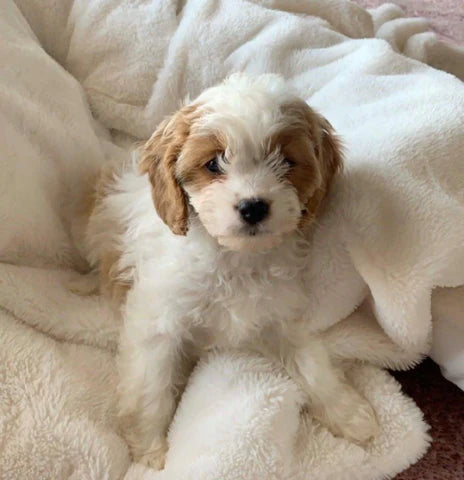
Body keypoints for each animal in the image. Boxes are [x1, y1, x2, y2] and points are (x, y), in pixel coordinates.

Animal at [78, 74, 378, 468]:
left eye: (287, 161)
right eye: (213, 163)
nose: (253, 207)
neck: (233, 260)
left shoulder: (279, 315)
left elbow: (312, 363)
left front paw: (349, 413)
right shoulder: (156, 323)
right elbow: (150, 390)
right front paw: (151, 453)